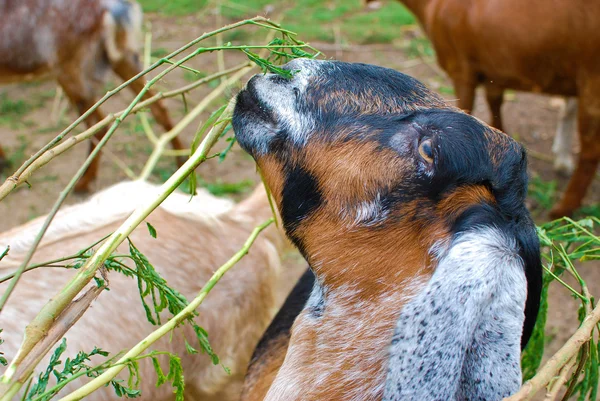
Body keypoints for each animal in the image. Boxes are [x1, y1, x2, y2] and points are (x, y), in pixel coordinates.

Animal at [0, 0, 185, 191]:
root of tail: (114, 9)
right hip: (123, 57)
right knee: (158, 104)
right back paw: (181, 162)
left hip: (72, 71)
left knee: (98, 124)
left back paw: (83, 182)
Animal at [366, 0, 600, 219]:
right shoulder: (493, 72)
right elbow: (494, 103)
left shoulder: (461, 69)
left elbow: (465, 109)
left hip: (592, 80)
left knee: (590, 151)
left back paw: (563, 208)